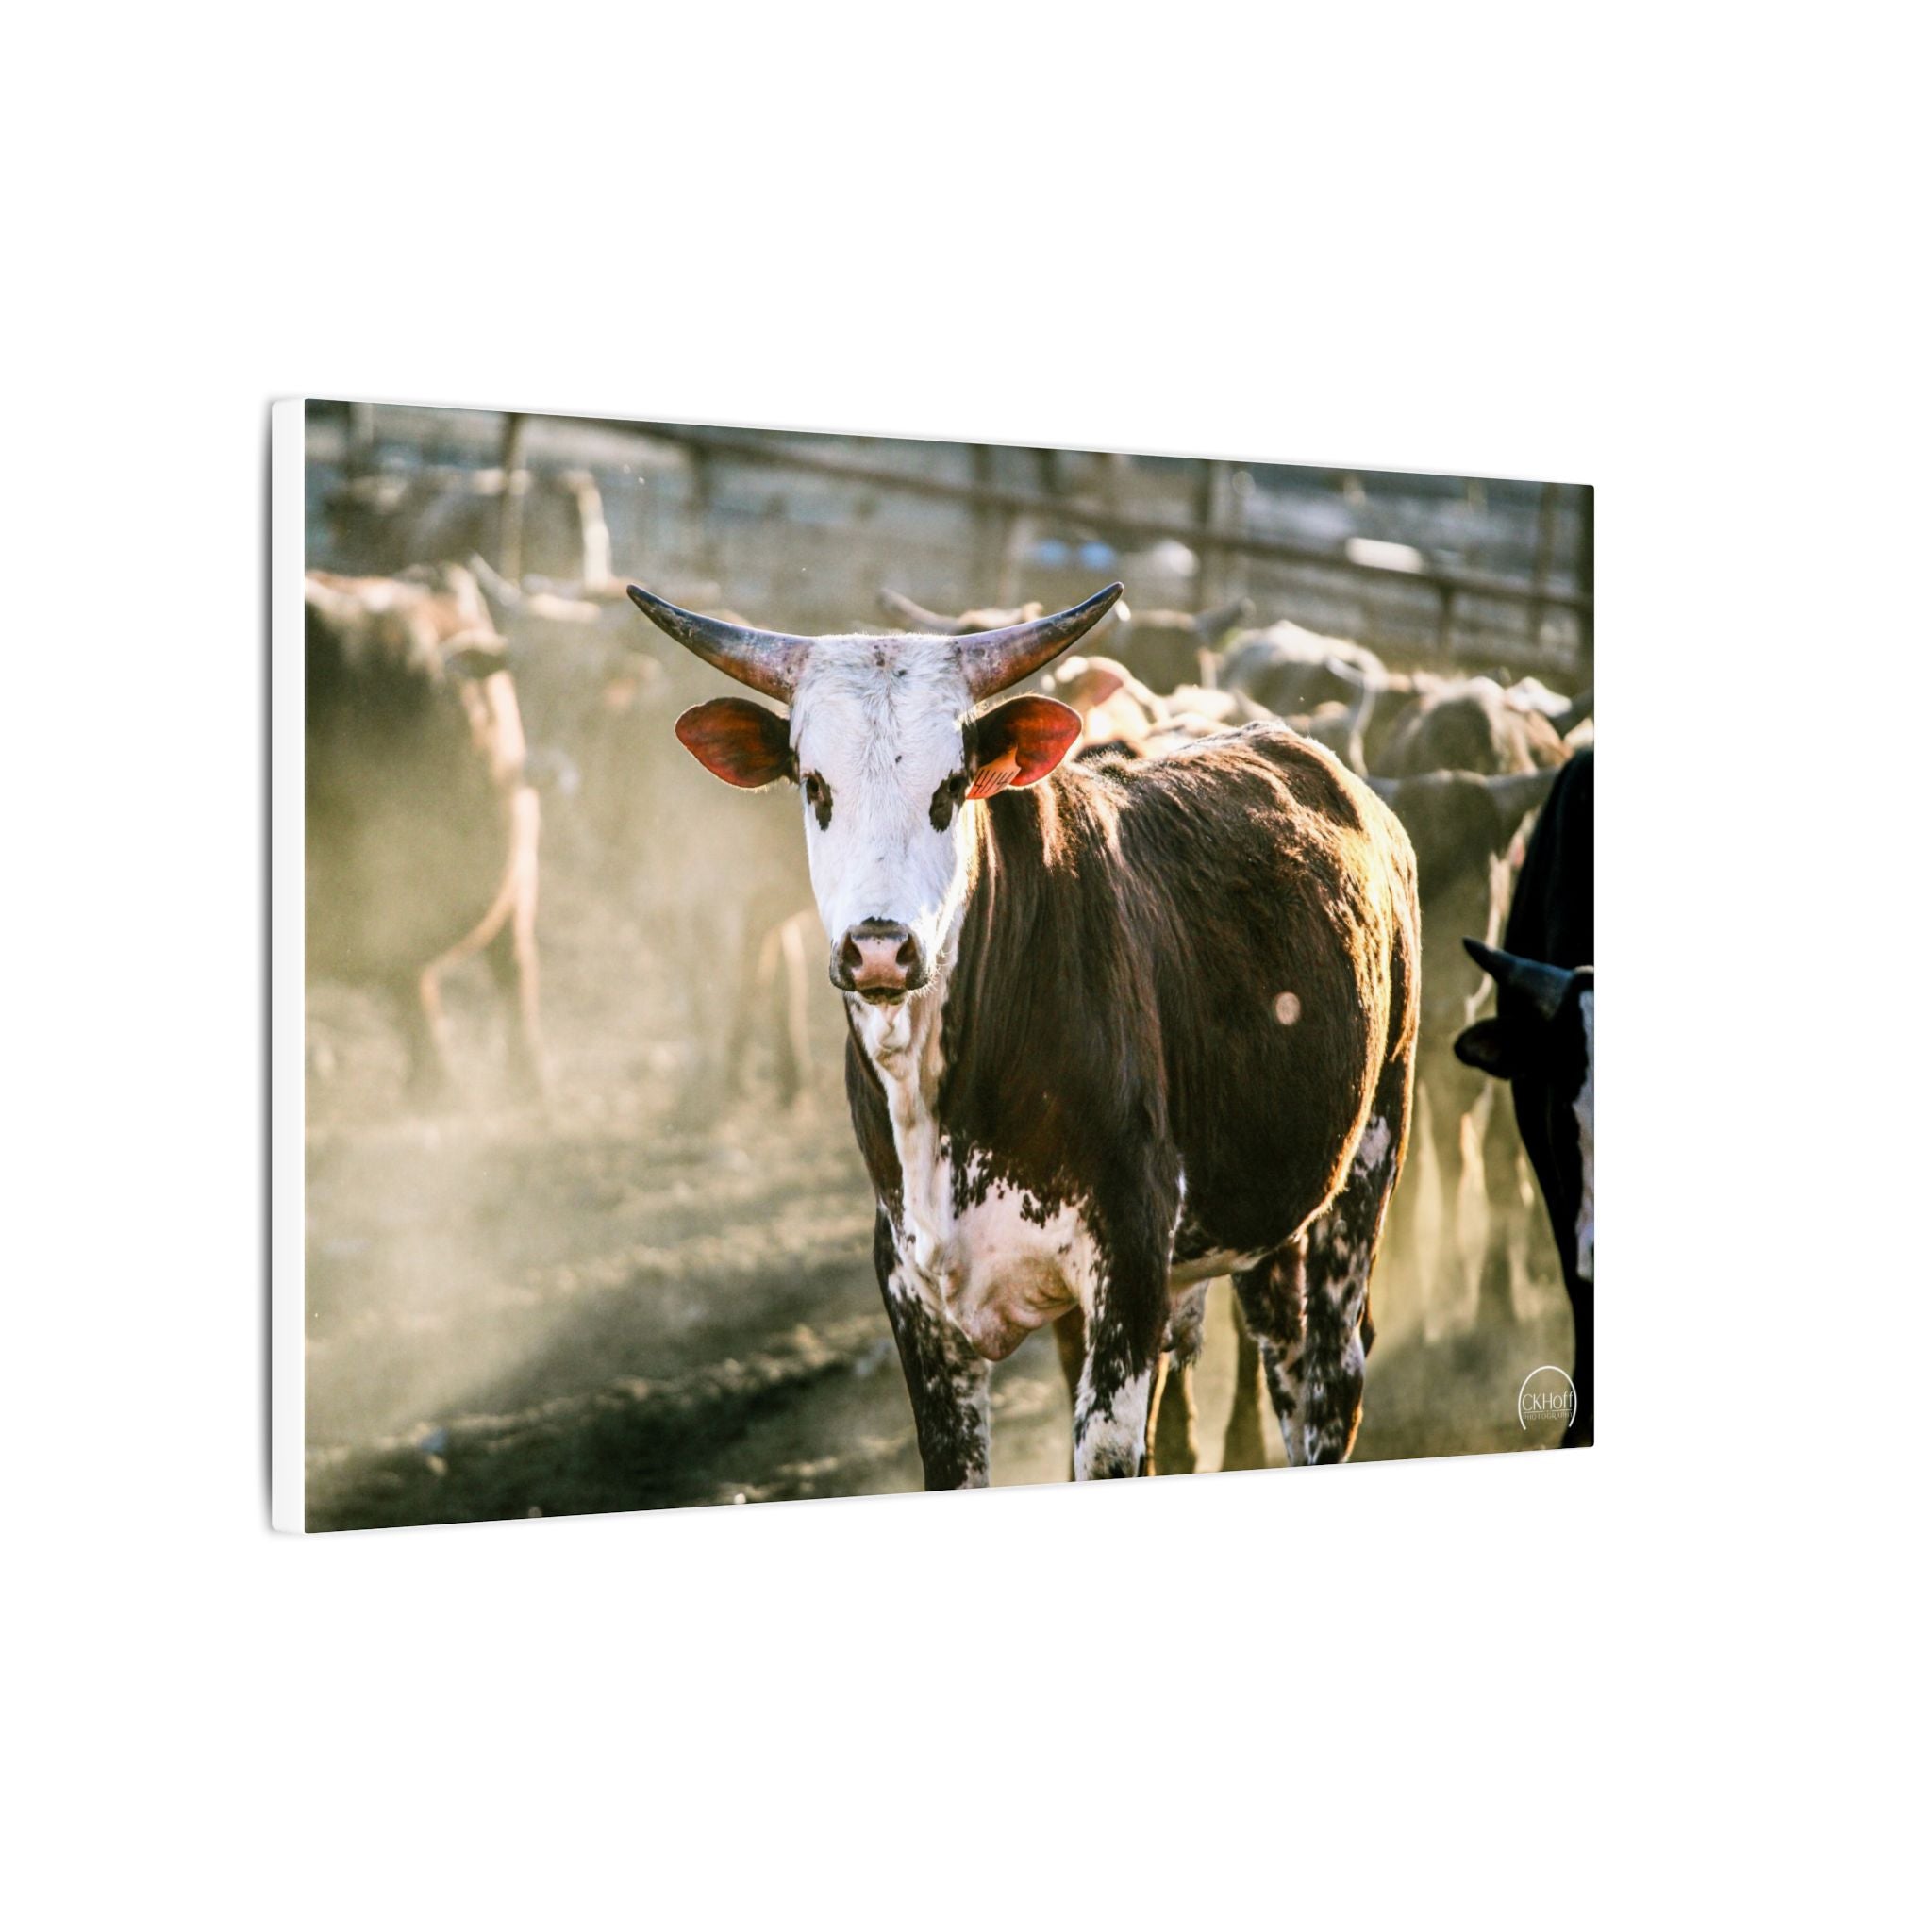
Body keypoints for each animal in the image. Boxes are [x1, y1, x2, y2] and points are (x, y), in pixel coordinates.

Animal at [626, 582, 1421, 1483]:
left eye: (950, 787)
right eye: (814, 786)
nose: (878, 945)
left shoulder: (1129, 1268)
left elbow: (1107, 1452)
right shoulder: (913, 1291)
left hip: (1366, 1166)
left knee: (1330, 1380)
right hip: (1267, 1212)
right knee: (1282, 1355)